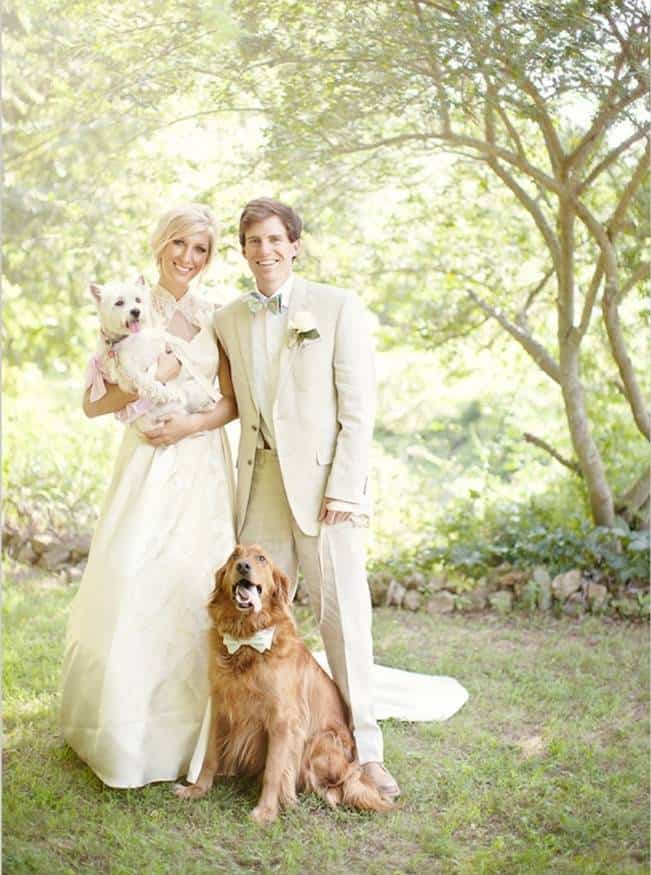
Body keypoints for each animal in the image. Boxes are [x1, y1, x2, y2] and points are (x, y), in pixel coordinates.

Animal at [89, 276, 215, 432]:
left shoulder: (157, 348)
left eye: (138, 299)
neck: (130, 338)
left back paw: (205, 406)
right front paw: (158, 390)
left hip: (193, 389)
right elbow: (142, 378)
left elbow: (163, 355)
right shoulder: (125, 371)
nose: (136, 311)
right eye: (119, 302)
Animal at [173, 544, 394, 824]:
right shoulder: (221, 708)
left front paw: (266, 811)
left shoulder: (283, 720)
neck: (247, 641)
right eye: (234, 556)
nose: (243, 566)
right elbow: (210, 757)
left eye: (261, 558)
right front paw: (197, 790)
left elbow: (274, 770)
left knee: (341, 782)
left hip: (319, 741)